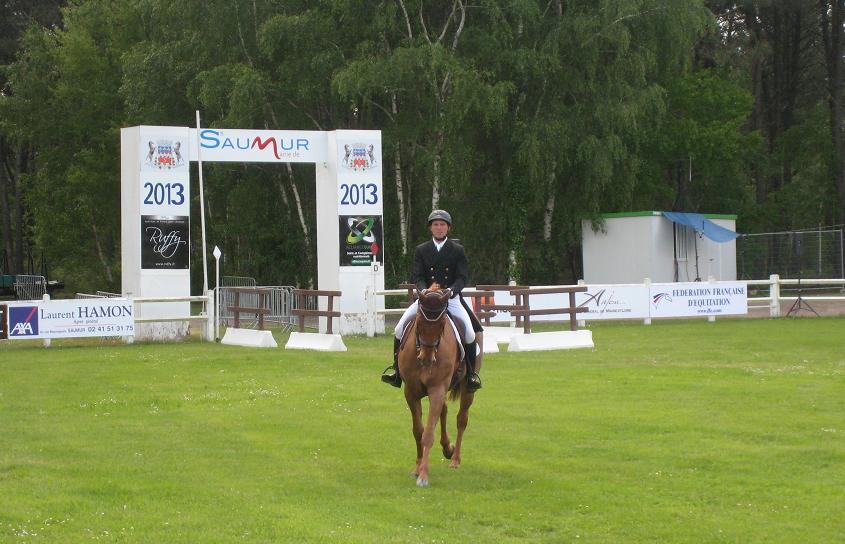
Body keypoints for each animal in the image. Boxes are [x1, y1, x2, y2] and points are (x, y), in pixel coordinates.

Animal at [398, 286, 482, 486]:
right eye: (419, 322)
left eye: (443, 324)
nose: (426, 359)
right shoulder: (411, 392)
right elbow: (418, 431)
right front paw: (417, 468)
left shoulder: (436, 390)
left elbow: (428, 433)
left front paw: (423, 475)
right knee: (444, 411)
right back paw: (447, 448)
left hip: (467, 390)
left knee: (461, 419)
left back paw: (455, 459)